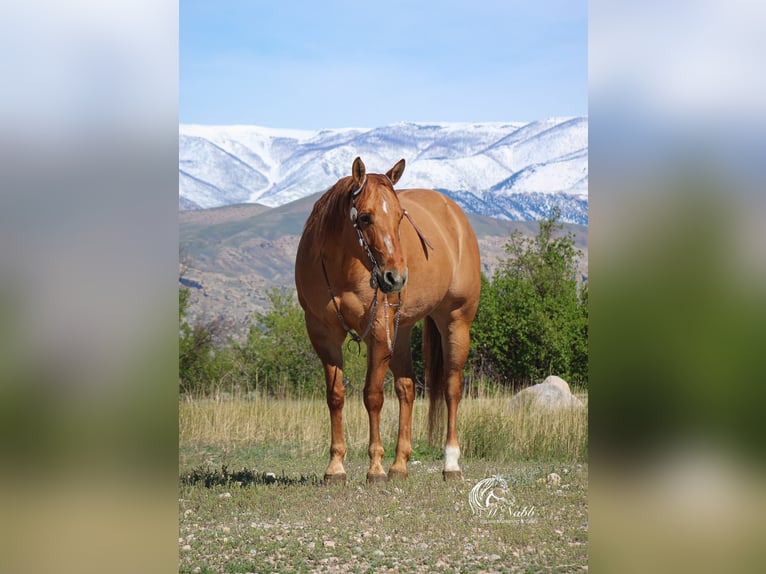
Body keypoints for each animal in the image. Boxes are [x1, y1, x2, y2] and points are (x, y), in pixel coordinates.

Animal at [294, 158, 480, 486]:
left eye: (399, 216)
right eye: (365, 217)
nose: (396, 277)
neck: (343, 266)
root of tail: (456, 216)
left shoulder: (378, 333)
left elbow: (373, 396)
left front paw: (375, 468)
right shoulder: (323, 335)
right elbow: (336, 396)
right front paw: (336, 467)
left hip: (456, 321)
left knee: (452, 388)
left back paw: (450, 464)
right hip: (401, 330)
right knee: (407, 389)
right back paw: (399, 465)